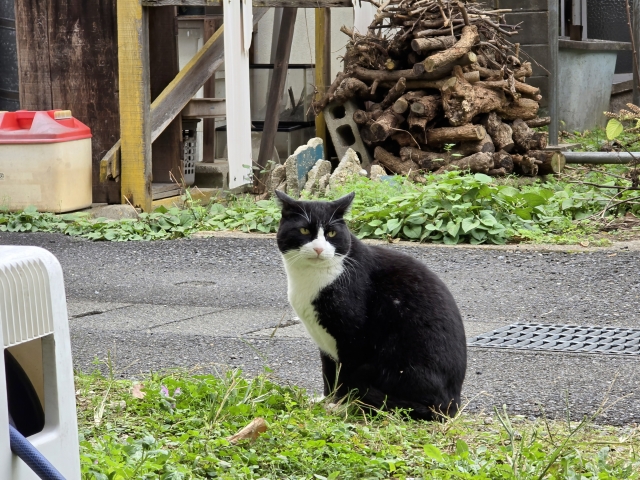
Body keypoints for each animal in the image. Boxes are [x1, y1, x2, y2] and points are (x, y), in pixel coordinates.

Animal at [274, 189, 464, 418]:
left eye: (331, 233)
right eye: (303, 230)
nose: (319, 249)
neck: (312, 279)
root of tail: (452, 404)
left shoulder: (353, 337)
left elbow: (344, 374)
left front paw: (339, 405)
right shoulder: (324, 343)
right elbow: (329, 373)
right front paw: (325, 401)